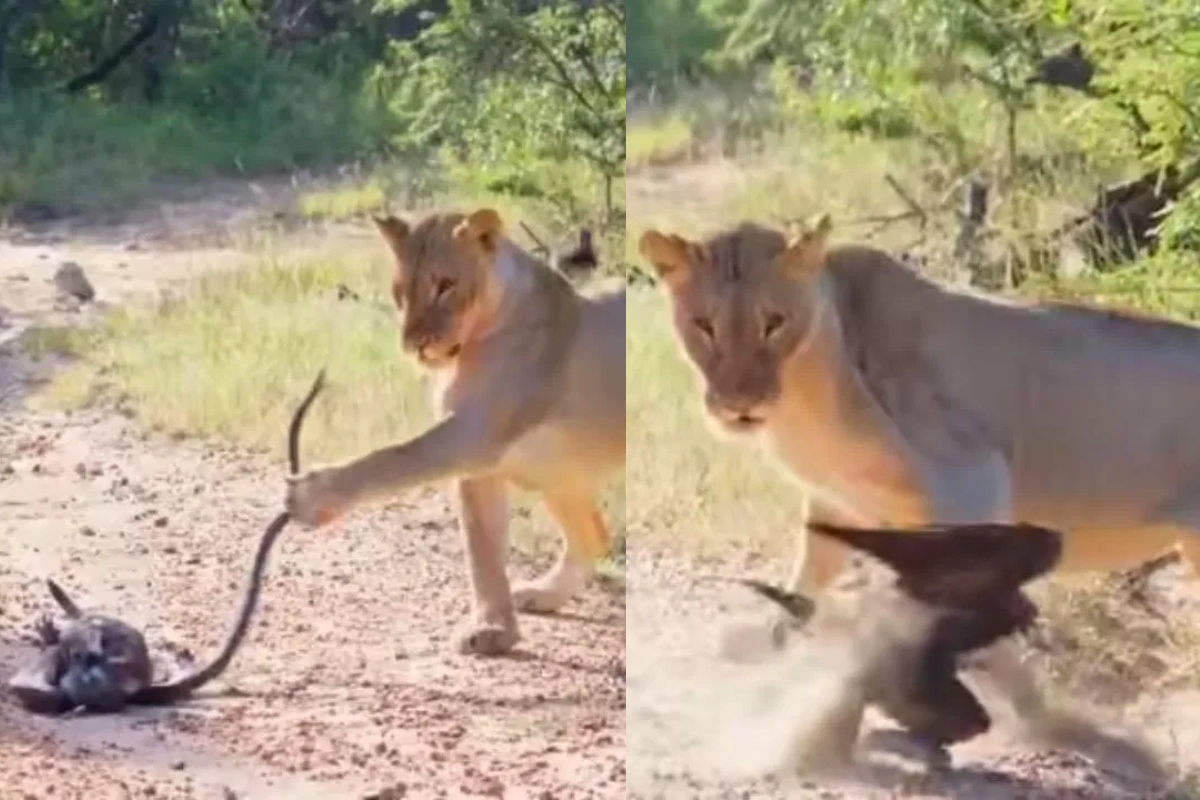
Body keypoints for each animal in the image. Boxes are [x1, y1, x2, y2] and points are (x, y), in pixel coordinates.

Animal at [286, 208, 625, 656]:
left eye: (445, 285)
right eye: (401, 291)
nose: (414, 344)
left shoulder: (474, 432)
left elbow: (394, 458)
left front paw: (311, 494)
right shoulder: (479, 466)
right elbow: (481, 551)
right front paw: (493, 628)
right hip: (561, 474)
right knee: (594, 535)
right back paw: (544, 594)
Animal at [638, 212, 1200, 715]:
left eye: (773, 323)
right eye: (704, 326)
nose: (740, 404)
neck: (807, 398)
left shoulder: (973, 480)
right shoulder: (836, 504)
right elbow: (806, 584)